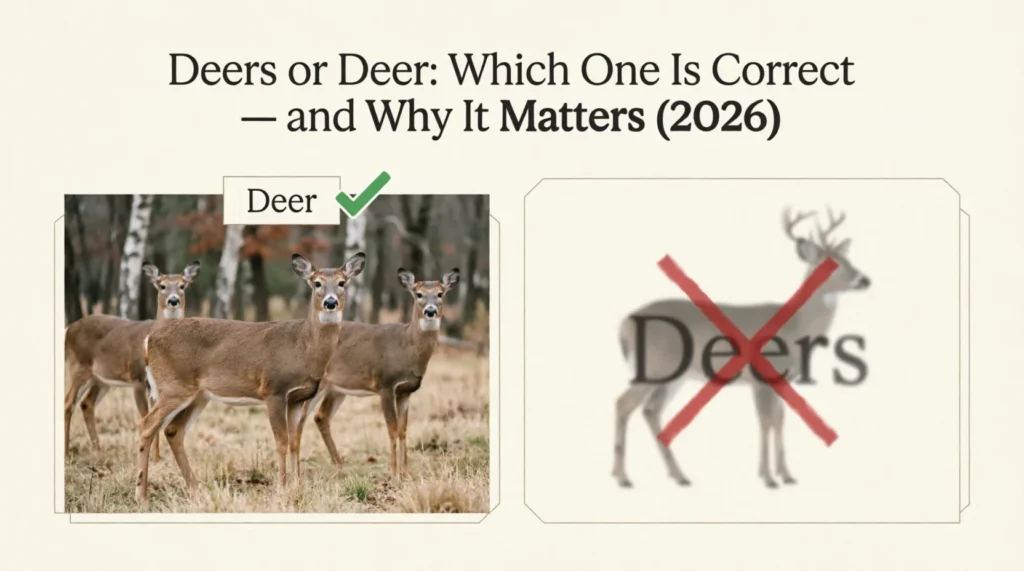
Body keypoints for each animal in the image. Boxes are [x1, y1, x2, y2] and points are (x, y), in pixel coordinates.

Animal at [63, 261, 201, 461]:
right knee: (68, 402)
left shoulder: (157, 385)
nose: (173, 300)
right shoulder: (136, 377)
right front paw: (152, 457)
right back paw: (67, 453)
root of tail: (69, 328)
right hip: (78, 365)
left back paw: (98, 450)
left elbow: (156, 420)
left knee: (86, 403)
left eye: (182, 285)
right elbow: (145, 416)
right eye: (162, 286)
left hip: (101, 379)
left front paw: (157, 459)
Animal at [135, 252, 365, 503]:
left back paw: (195, 490)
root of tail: (148, 340)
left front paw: (298, 487)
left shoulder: (297, 398)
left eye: (342, 282)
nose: (330, 302)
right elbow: (281, 442)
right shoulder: (273, 390)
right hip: (173, 386)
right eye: (317, 283)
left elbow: (295, 441)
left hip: (198, 395)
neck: (303, 348)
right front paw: (282, 487)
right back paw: (141, 494)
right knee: (146, 424)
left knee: (172, 431)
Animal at [294, 267, 461, 480]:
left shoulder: (405, 391)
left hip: (337, 388)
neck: (407, 347)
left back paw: (340, 465)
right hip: (318, 384)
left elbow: (403, 430)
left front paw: (406, 473)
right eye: (419, 294)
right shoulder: (385, 385)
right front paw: (394, 473)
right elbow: (392, 429)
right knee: (301, 419)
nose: (430, 311)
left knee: (321, 416)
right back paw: (299, 471)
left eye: (440, 294)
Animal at [612, 207, 870, 489]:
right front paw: (768, 478)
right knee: (623, 403)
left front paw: (786, 475)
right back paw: (623, 477)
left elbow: (779, 420)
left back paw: (678, 476)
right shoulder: (760, 377)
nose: (864, 280)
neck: (795, 327)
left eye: (848, 259)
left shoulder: (782, 381)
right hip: (654, 365)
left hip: (673, 375)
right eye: (830, 264)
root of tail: (625, 323)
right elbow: (766, 421)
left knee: (651, 410)